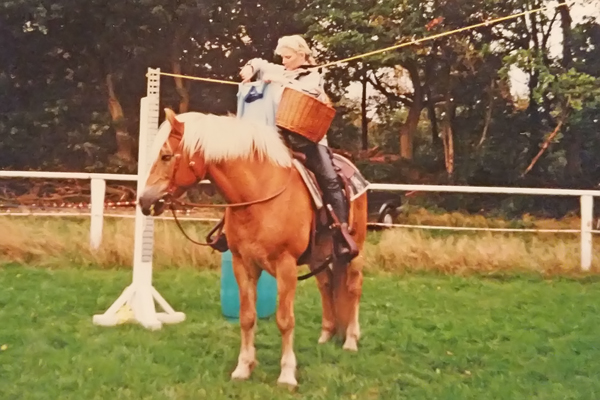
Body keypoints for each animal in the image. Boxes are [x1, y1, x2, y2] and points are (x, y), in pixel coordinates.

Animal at [139, 108, 368, 388]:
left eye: (166, 156)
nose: (144, 200)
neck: (258, 195)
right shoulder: (243, 264)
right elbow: (247, 317)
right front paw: (243, 367)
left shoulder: (286, 266)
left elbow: (285, 320)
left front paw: (287, 374)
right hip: (319, 255)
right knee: (326, 285)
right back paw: (326, 334)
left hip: (355, 251)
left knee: (353, 287)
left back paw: (350, 340)